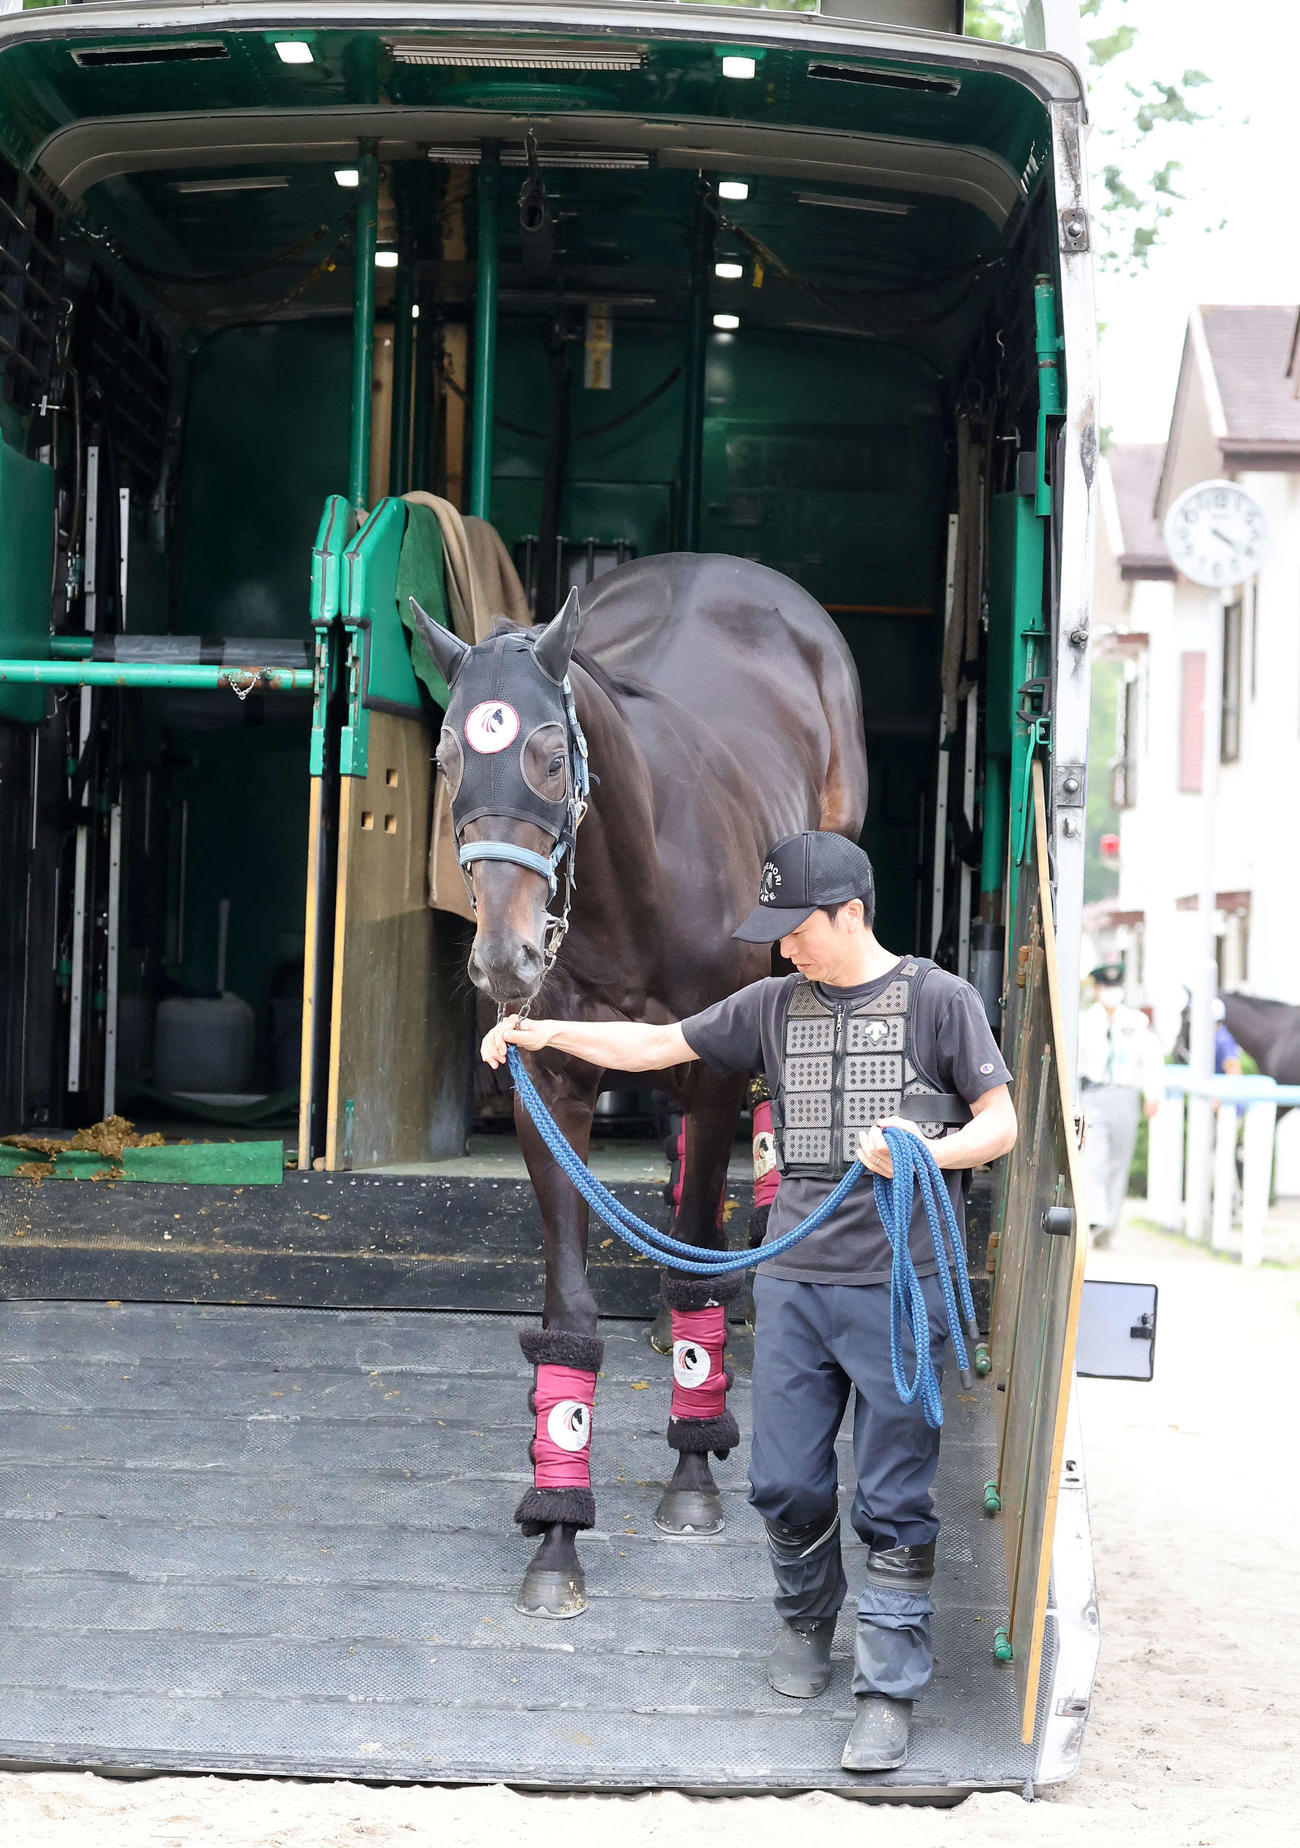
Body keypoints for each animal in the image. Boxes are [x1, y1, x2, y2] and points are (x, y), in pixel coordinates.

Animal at [413, 551, 867, 1619]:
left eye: (547, 753)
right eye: (448, 755)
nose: (504, 958)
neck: (633, 886)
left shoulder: (711, 1072)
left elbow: (696, 1242)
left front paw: (694, 1476)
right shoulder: (551, 1092)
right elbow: (570, 1317)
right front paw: (555, 1534)